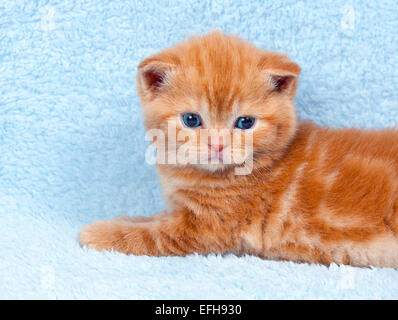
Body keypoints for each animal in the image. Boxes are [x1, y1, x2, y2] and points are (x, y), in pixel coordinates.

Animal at [78, 31, 398, 268]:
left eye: (245, 122)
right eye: (191, 120)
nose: (218, 144)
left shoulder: (205, 228)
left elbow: (148, 235)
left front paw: (98, 233)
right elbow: (150, 218)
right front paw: (123, 218)